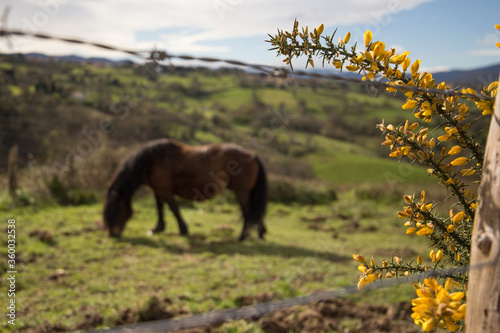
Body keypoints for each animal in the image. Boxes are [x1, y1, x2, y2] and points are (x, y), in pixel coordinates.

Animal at [102, 139, 270, 240]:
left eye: (115, 209)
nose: (112, 234)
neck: (152, 160)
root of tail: (251, 154)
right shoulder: (157, 190)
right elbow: (160, 209)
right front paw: (158, 228)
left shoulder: (165, 190)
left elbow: (173, 208)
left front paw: (183, 229)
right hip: (248, 193)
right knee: (256, 212)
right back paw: (260, 234)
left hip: (242, 192)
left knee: (248, 213)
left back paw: (242, 237)